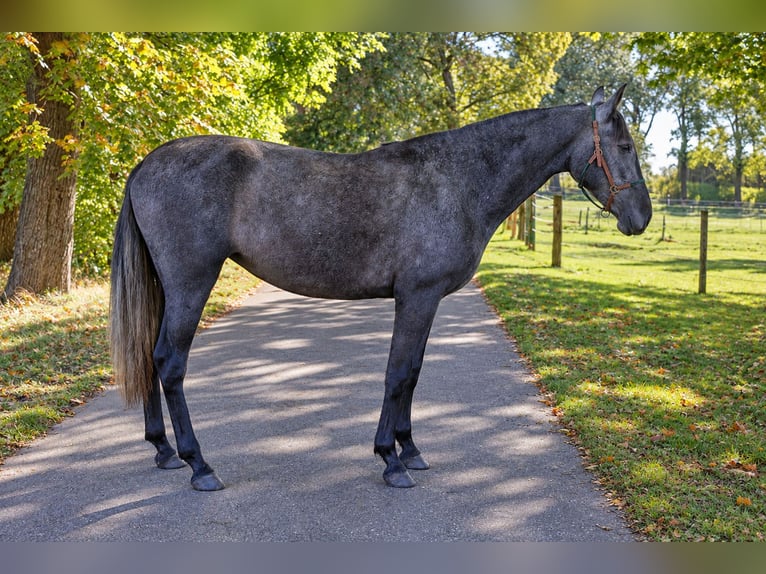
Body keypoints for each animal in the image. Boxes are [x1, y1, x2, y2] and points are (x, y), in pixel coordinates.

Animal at [110, 84, 651, 491]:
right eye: (625, 147)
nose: (642, 218)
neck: (458, 180)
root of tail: (147, 163)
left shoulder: (424, 302)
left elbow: (412, 373)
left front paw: (409, 450)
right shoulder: (417, 298)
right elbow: (398, 374)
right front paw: (390, 460)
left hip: (167, 287)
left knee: (147, 355)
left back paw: (163, 451)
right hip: (191, 283)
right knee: (170, 362)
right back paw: (199, 464)